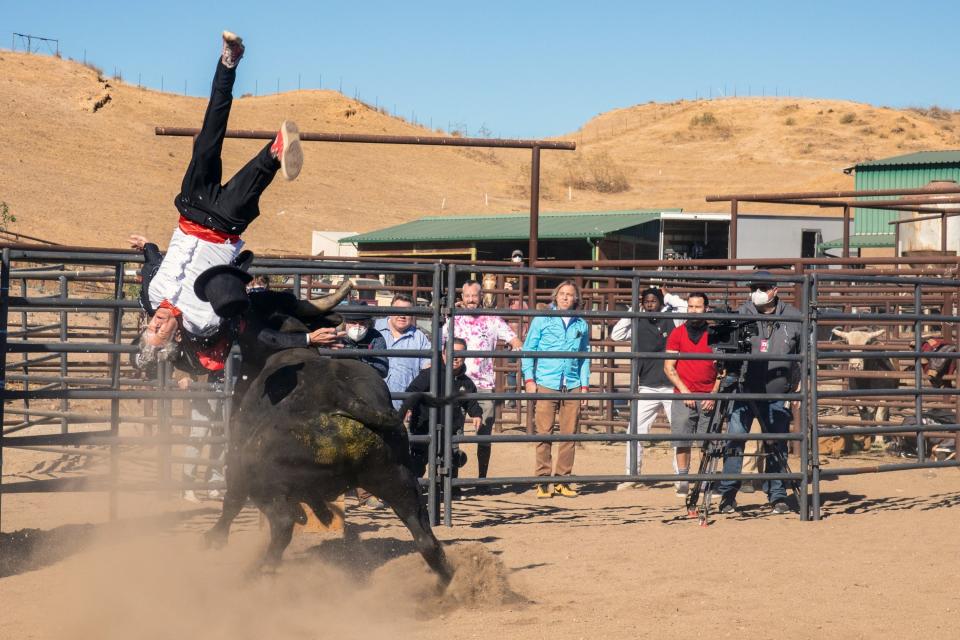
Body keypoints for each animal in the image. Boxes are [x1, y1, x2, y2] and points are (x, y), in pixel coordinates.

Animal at [204, 348, 452, 584]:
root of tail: (341, 396)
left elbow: (232, 502)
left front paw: (214, 539)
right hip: (398, 479)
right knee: (425, 539)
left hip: (261, 483)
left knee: (281, 523)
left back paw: (258, 570)